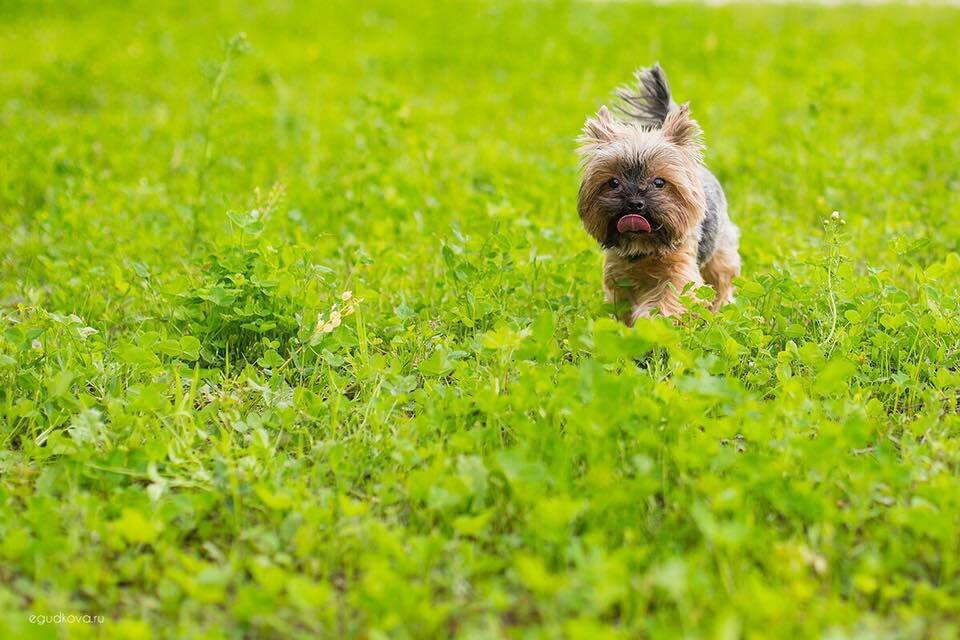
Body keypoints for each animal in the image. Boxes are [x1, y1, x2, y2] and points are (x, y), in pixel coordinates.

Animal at [576, 65, 744, 324]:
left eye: (659, 182)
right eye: (613, 182)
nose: (634, 203)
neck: (644, 248)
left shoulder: (679, 270)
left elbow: (669, 299)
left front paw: (652, 323)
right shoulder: (619, 274)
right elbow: (623, 303)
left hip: (720, 248)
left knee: (721, 279)